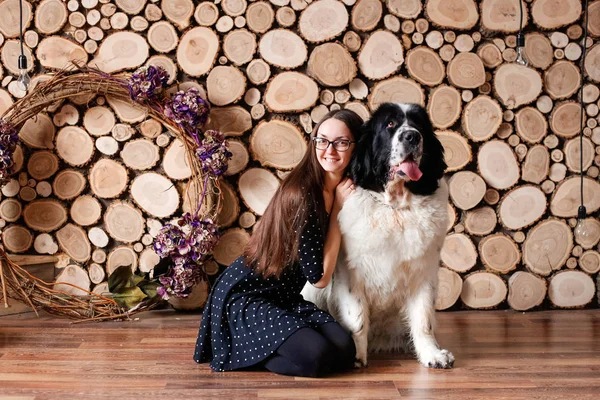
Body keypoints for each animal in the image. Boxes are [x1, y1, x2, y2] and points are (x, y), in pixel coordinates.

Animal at [302, 102, 452, 368]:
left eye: (419, 124)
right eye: (390, 124)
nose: (412, 136)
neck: (395, 208)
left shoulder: (424, 270)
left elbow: (424, 319)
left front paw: (432, 355)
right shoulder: (350, 272)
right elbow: (357, 318)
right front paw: (356, 356)